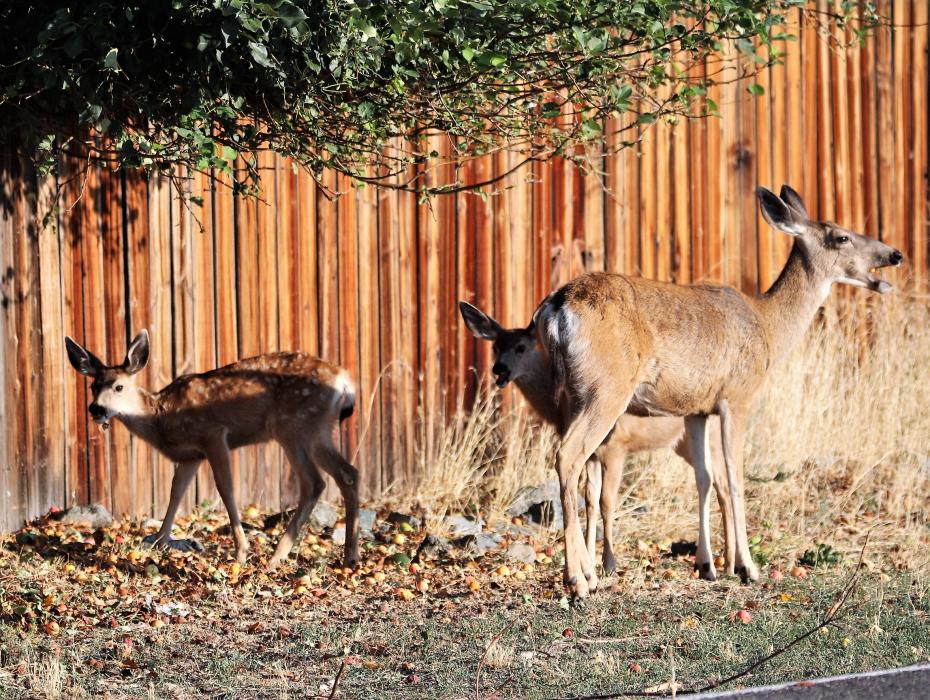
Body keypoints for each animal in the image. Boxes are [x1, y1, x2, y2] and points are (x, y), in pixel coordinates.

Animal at [64, 330, 360, 571]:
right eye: (92, 386)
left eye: (119, 386)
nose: (96, 409)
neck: (161, 416)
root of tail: (344, 380)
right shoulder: (191, 456)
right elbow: (176, 492)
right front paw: (159, 540)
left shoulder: (213, 435)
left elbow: (225, 489)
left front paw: (241, 552)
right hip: (319, 430)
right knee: (348, 473)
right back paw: (349, 557)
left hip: (293, 427)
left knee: (313, 482)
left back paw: (277, 556)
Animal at [460, 302, 734, 577]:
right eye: (495, 346)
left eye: (521, 347)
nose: (499, 369)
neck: (559, 410)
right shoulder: (593, 455)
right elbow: (590, 501)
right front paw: (589, 561)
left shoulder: (616, 447)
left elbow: (606, 501)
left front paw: (608, 564)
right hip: (683, 445)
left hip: (707, 439)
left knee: (722, 482)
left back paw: (728, 562)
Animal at [533, 185, 903, 598]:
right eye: (841, 236)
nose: (895, 254)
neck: (768, 327)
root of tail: (557, 306)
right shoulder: (736, 396)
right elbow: (736, 478)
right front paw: (747, 567)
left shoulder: (697, 409)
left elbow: (705, 479)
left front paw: (708, 564)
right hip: (607, 386)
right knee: (568, 456)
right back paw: (578, 580)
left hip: (574, 392)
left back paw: (590, 573)